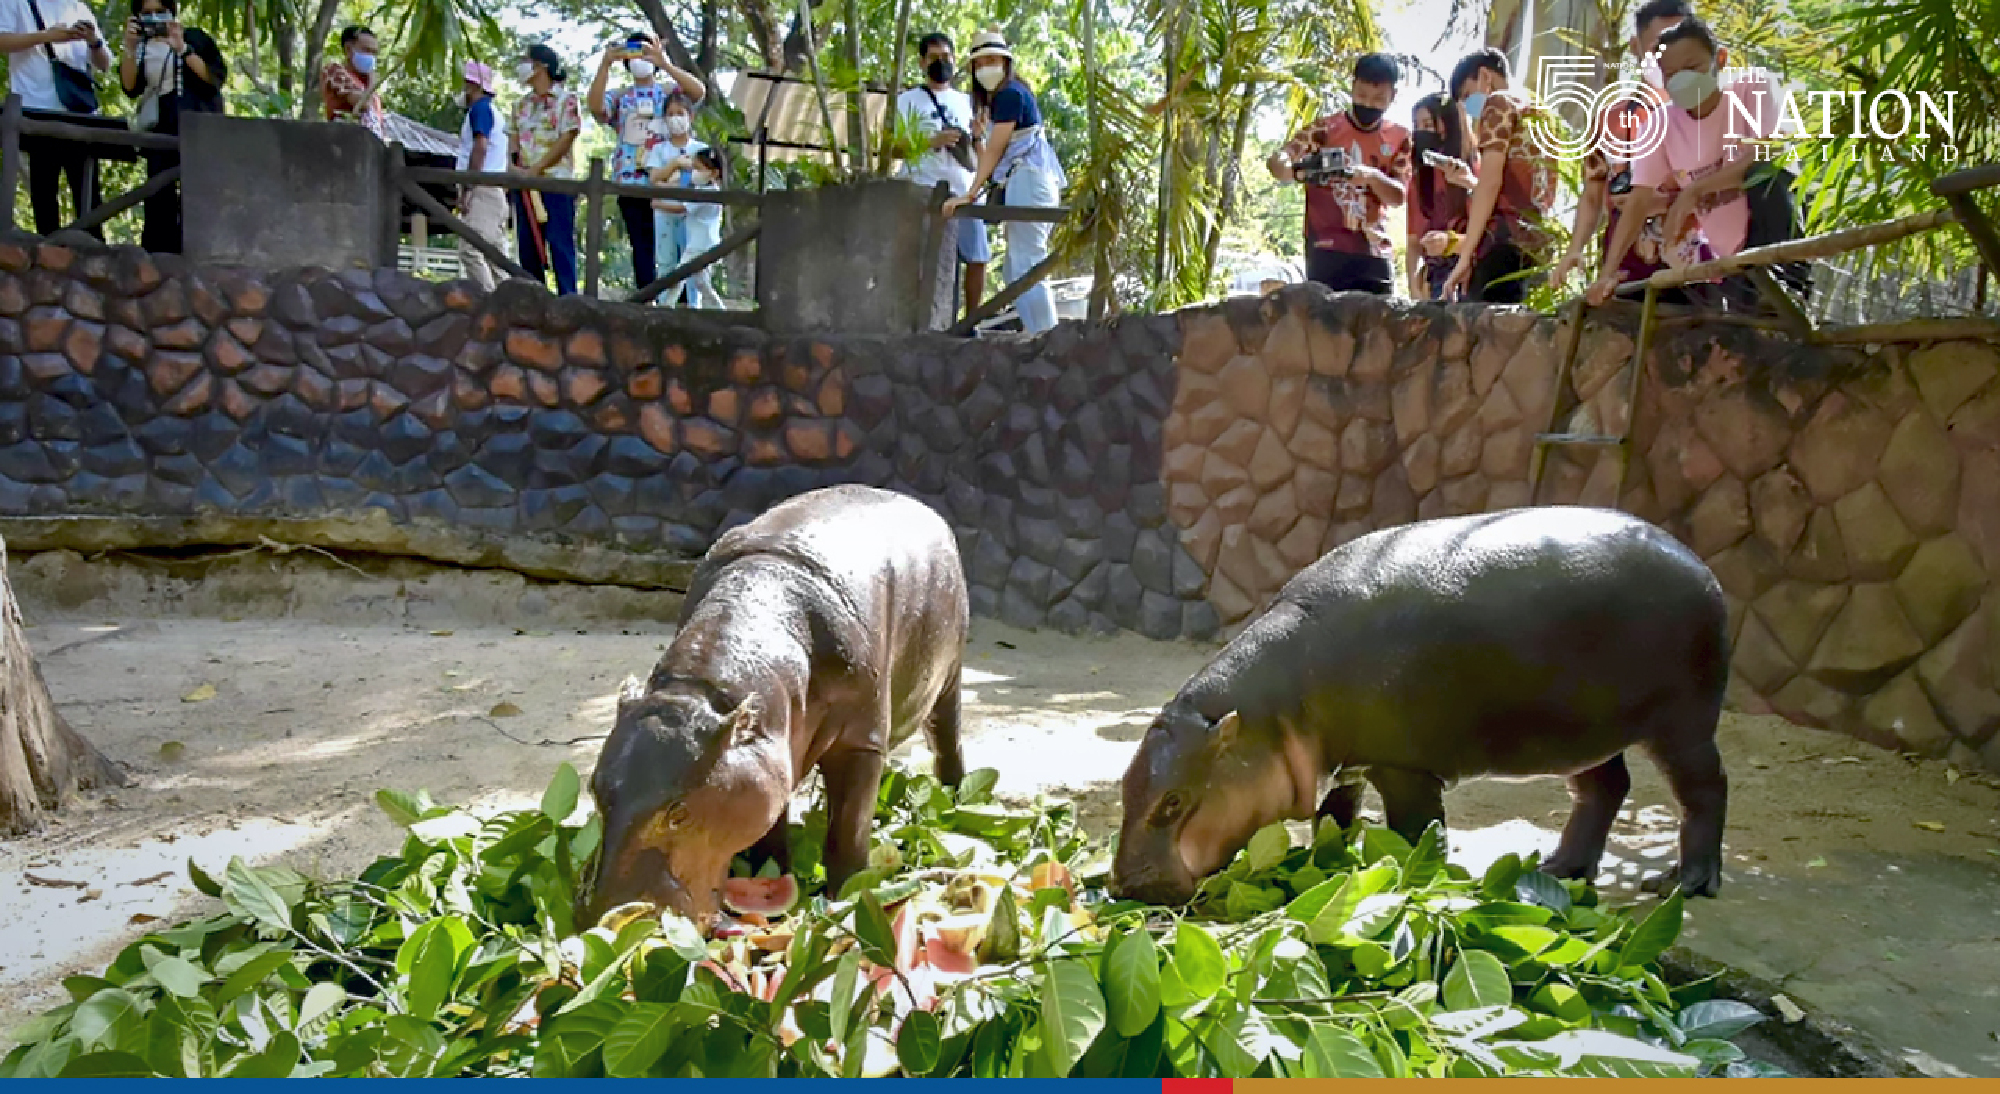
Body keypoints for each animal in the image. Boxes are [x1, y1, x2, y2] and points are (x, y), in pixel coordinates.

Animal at [585, 484, 969, 927]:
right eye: (594, 789)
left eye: (678, 812)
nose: (600, 917)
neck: (702, 691)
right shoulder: (772, 750)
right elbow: (770, 825)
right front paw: (767, 877)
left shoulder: (862, 742)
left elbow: (849, 827)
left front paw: (847, 893)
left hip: (949, 674)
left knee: (946, 736)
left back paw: (954, 796)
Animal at [1112, 507, 1730, 905]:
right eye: (1123, 784)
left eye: (1172, 802)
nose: (1125, 886)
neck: (1274, 711)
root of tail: (1702, 566)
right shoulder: (1347, 760)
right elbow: (1333, 815)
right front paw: (1326, 862)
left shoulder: (1403, 766)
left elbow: (1414, 831)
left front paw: (1404, 875)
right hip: (1586, 730)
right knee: (1604, 789)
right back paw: (1562, 870)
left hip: (1682, 722)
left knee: (1705, 788)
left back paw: (1685, 883)